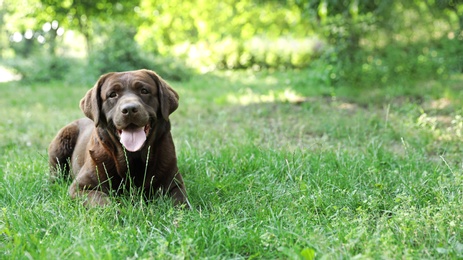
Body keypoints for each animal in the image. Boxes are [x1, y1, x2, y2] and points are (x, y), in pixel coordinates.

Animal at [48, 69, 189, 207]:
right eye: (112, 94)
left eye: (144, 91)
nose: (130, 109)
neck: (134, 157)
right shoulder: (80, 187)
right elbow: (102, 201)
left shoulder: (174, 185)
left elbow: (180, 203)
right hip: (61, 142)